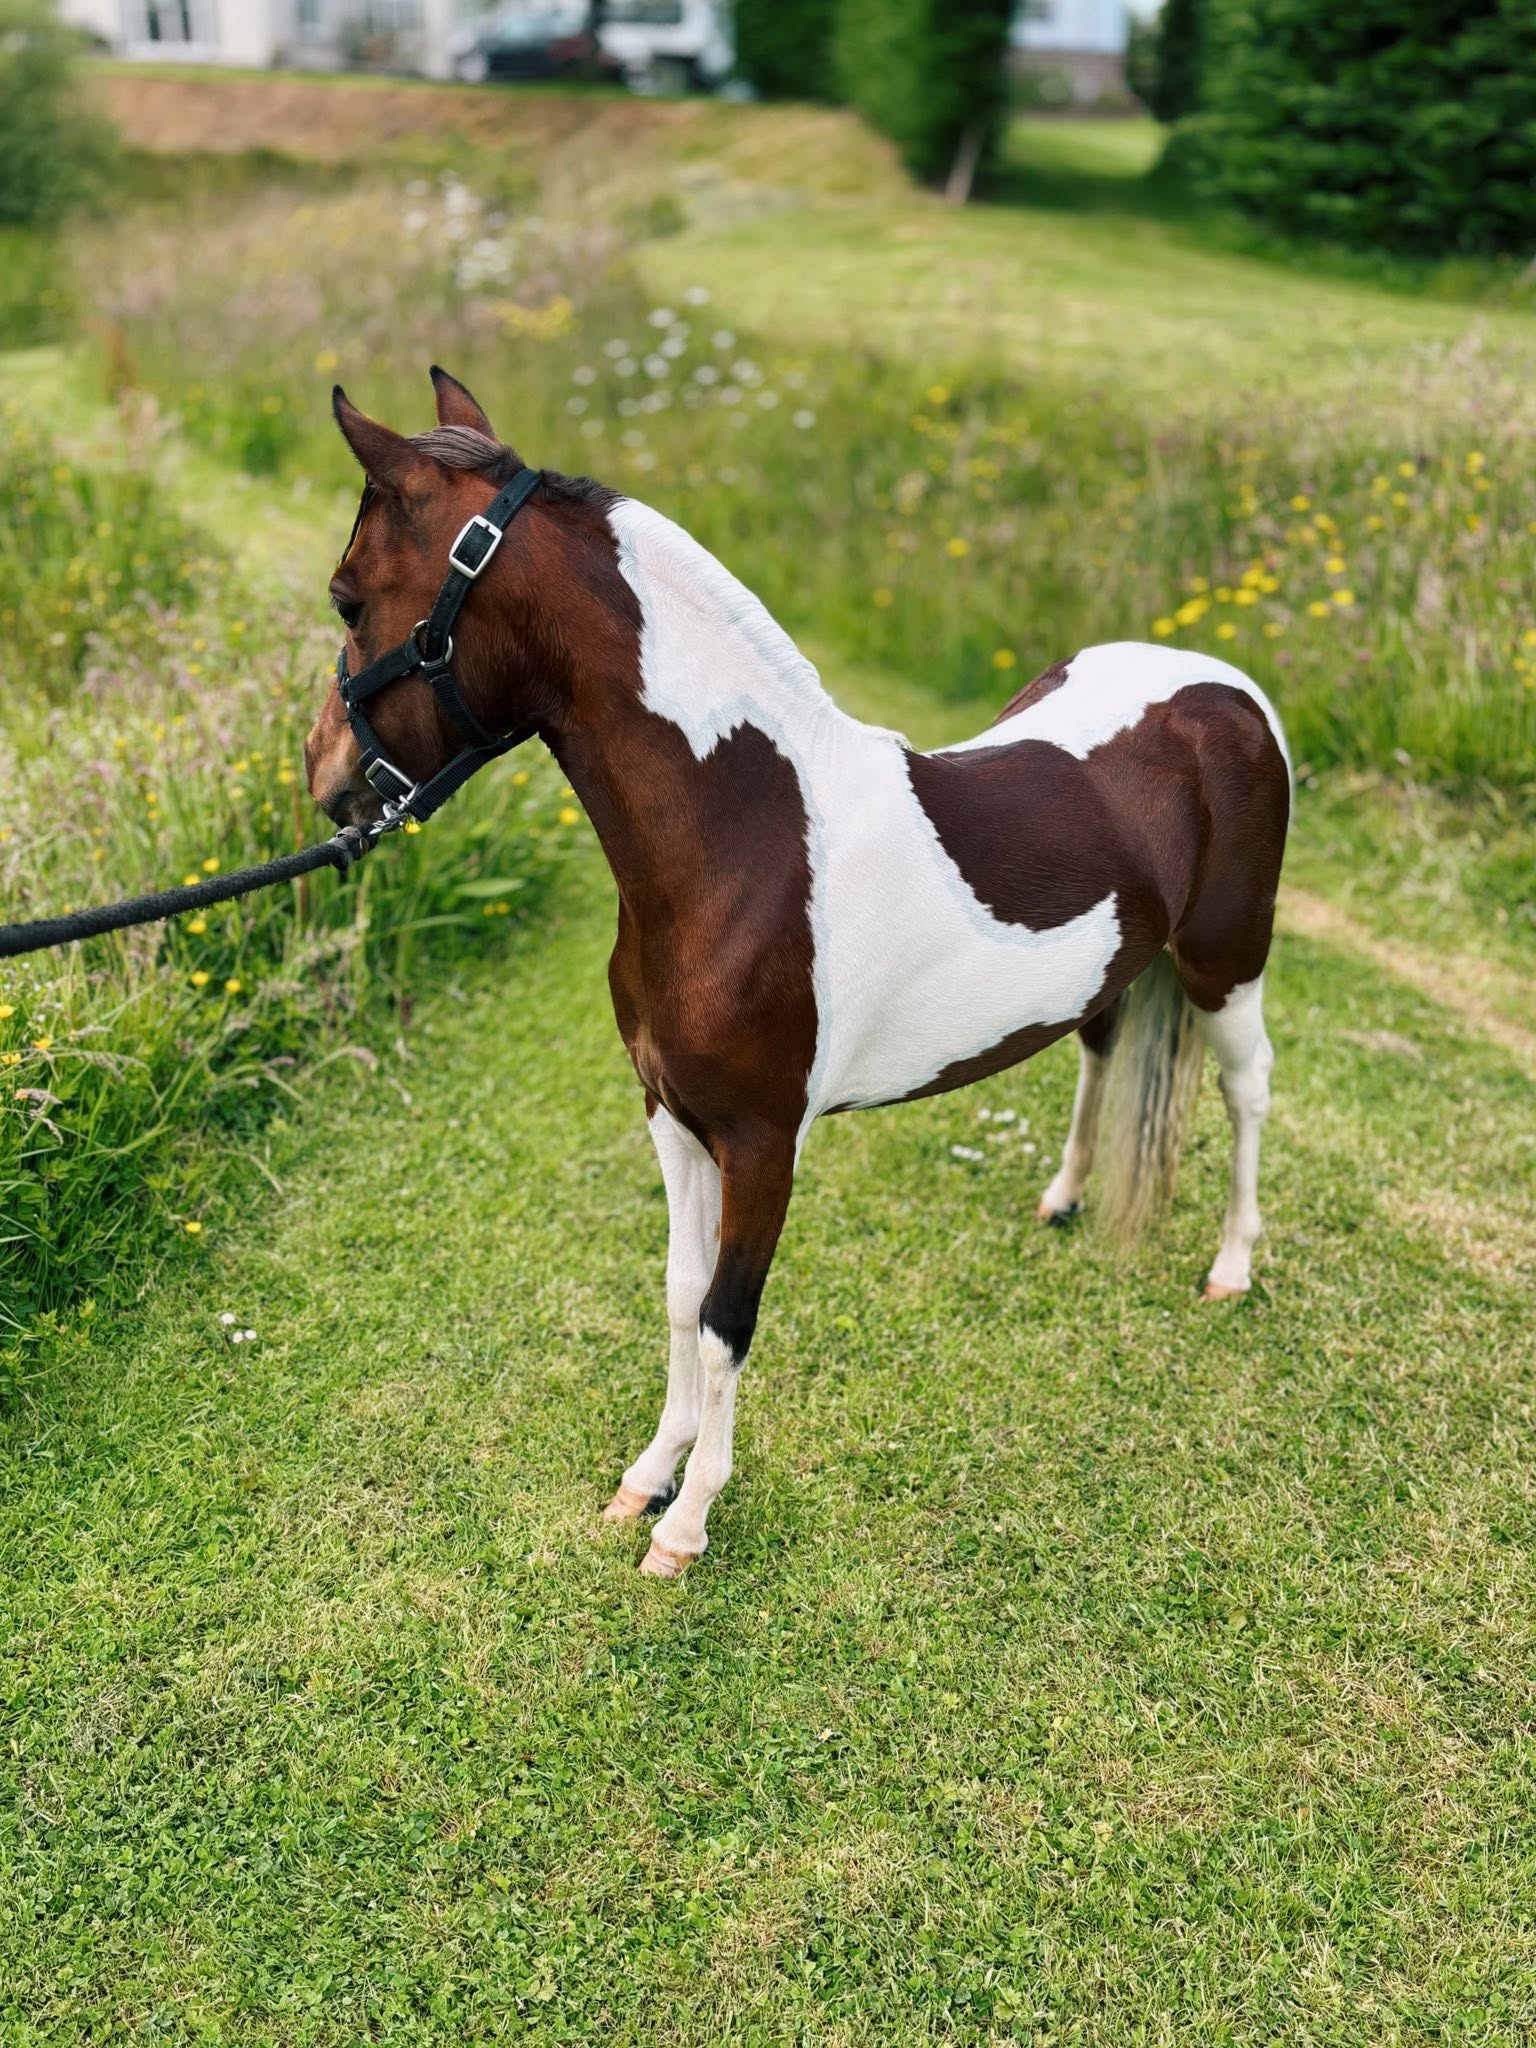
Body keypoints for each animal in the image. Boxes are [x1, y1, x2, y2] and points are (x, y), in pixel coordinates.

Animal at [306, 368, 1291, 1579]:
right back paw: (1063, 1198)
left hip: (1226, 963)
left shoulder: (765, 1140)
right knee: (1101, 1049)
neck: (748, 842)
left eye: (350, 600)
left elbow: (729, 1319)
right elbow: (681, 1296)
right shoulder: (671, 1116)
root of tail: (1226, 687)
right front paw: (647, 1477)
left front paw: (686, 1523)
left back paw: (1232, 1267)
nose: (325, 778)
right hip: (1122, 966)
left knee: (1248, 1089)